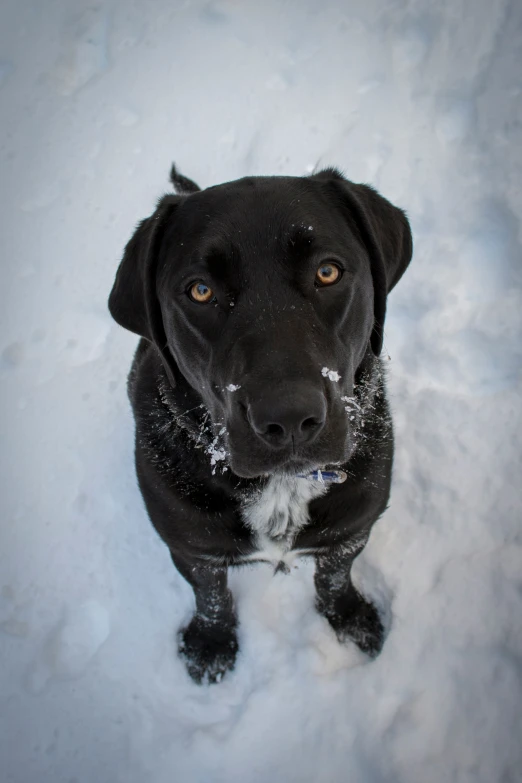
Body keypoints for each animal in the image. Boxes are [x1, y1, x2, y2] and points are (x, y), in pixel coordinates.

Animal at [108, 167, 410, 688]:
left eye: (328, 272)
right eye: (200, 290)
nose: (288, 417)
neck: (282, 486)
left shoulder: (352, 528)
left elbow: (334, 577)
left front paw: (349, 619)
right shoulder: (190, 547)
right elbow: (211, 595)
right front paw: (211, 646)